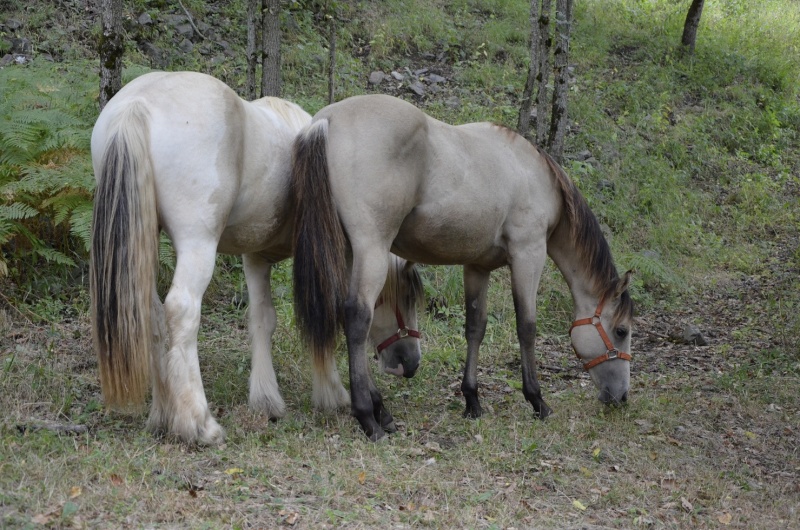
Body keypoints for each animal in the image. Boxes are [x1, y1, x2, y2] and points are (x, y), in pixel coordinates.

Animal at [90, 72, 422, 444]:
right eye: (407, 297)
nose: (410, 363)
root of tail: (138, 103)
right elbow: (329, 314)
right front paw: (338, 394)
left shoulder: (255, 258)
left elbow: (263, 319)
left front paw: (266, 400)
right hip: (197, 245)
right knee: (181, 313)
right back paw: (198, 423)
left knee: (153, 316)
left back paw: (163, 416)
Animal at [290, 94, 636, 438]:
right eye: (621, 330)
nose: (621, 397)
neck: (533, 173)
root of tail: (327, 120)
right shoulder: (529, 254)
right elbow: (526, 327)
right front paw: (537, 400)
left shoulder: (476, 267)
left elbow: (474, 328)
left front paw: (472, 401)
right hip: (371, 248)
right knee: (357, 317)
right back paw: (367, 417)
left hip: (349, 252)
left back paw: (381, 411)